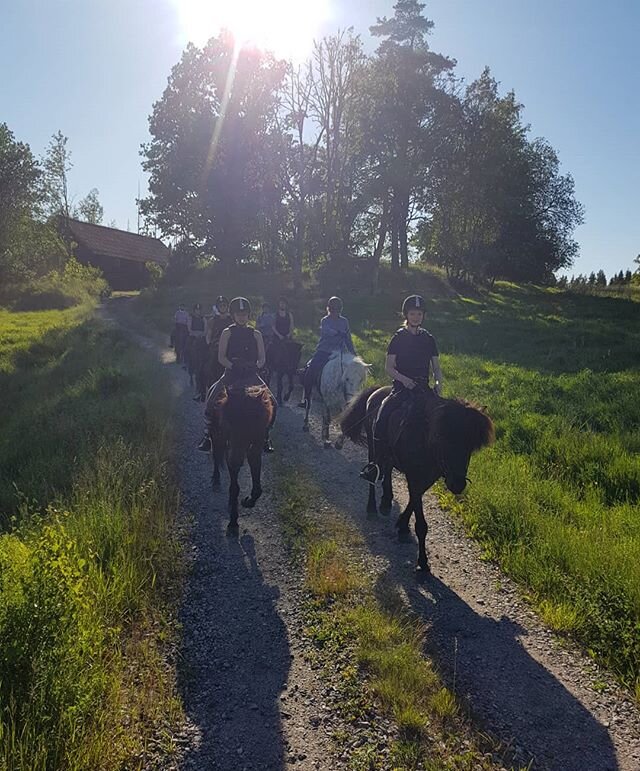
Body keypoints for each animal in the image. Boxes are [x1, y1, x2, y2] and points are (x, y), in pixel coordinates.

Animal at [208, 386, 272, 536]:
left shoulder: (255, 448)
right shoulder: (230, 450)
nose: (235, 460)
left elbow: (257, 488)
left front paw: (248, 501)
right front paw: (232, 522)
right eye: (228, 424)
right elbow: (234, 488)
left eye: (251, 425)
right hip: (216, 438)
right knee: (216, 456)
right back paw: (216, 480)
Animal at [340, 386, 496, 572]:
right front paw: (422, 561)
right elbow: (421, 524)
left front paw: (402, 525)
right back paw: (372, 508)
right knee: (373, 474)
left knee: (387, 468)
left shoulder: (428, 478)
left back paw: (386, 502)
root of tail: (378, 390)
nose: (457, 484)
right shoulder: (413, 476)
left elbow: (414, 500)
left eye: (471, 444)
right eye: (442, 438)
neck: (424, 436)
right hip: (373, 446)